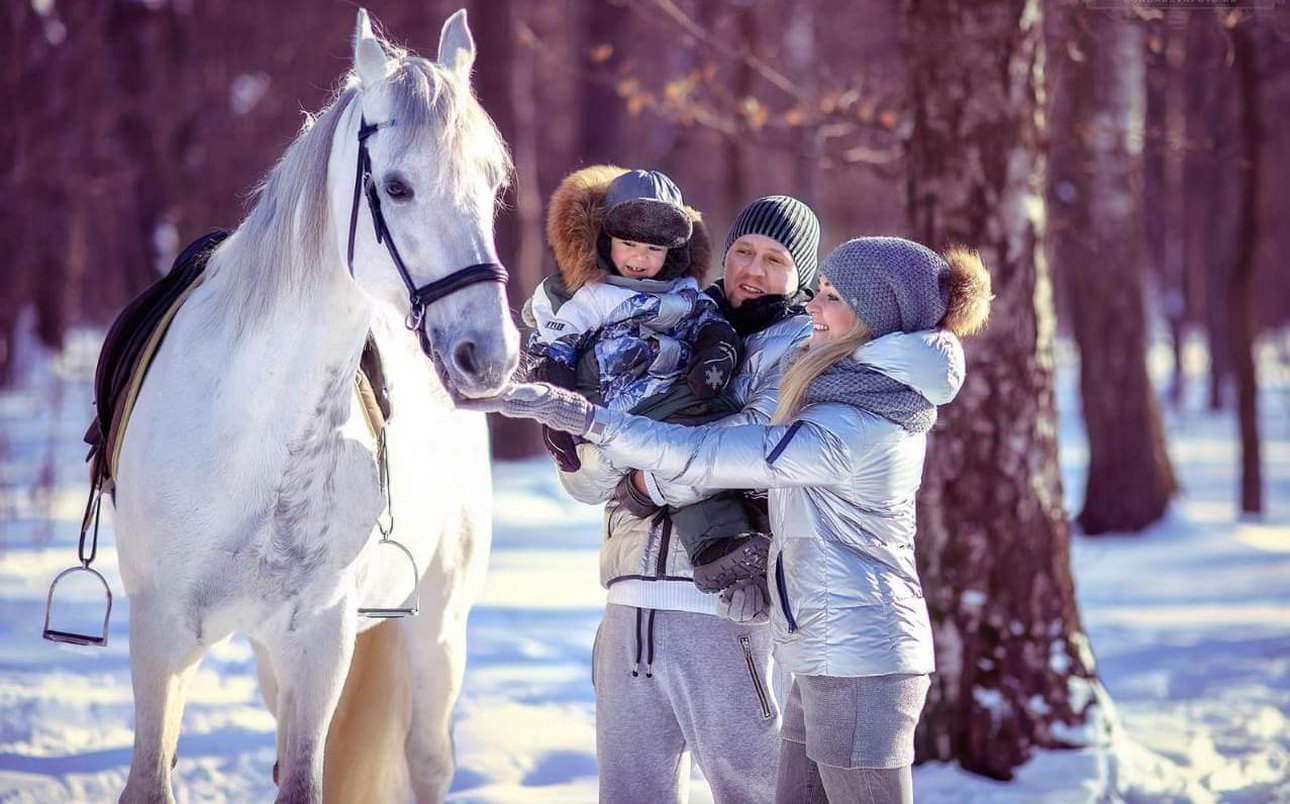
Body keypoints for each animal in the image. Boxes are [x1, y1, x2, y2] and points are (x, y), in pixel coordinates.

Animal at [109, 9, 513, 800]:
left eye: (492, 182)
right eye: (397, 187)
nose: (490, 352)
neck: (253, 438)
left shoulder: (320, 638)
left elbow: (303, 781)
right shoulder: (160, 638)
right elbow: (151, 778)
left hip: (438, 625)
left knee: (428, 758)